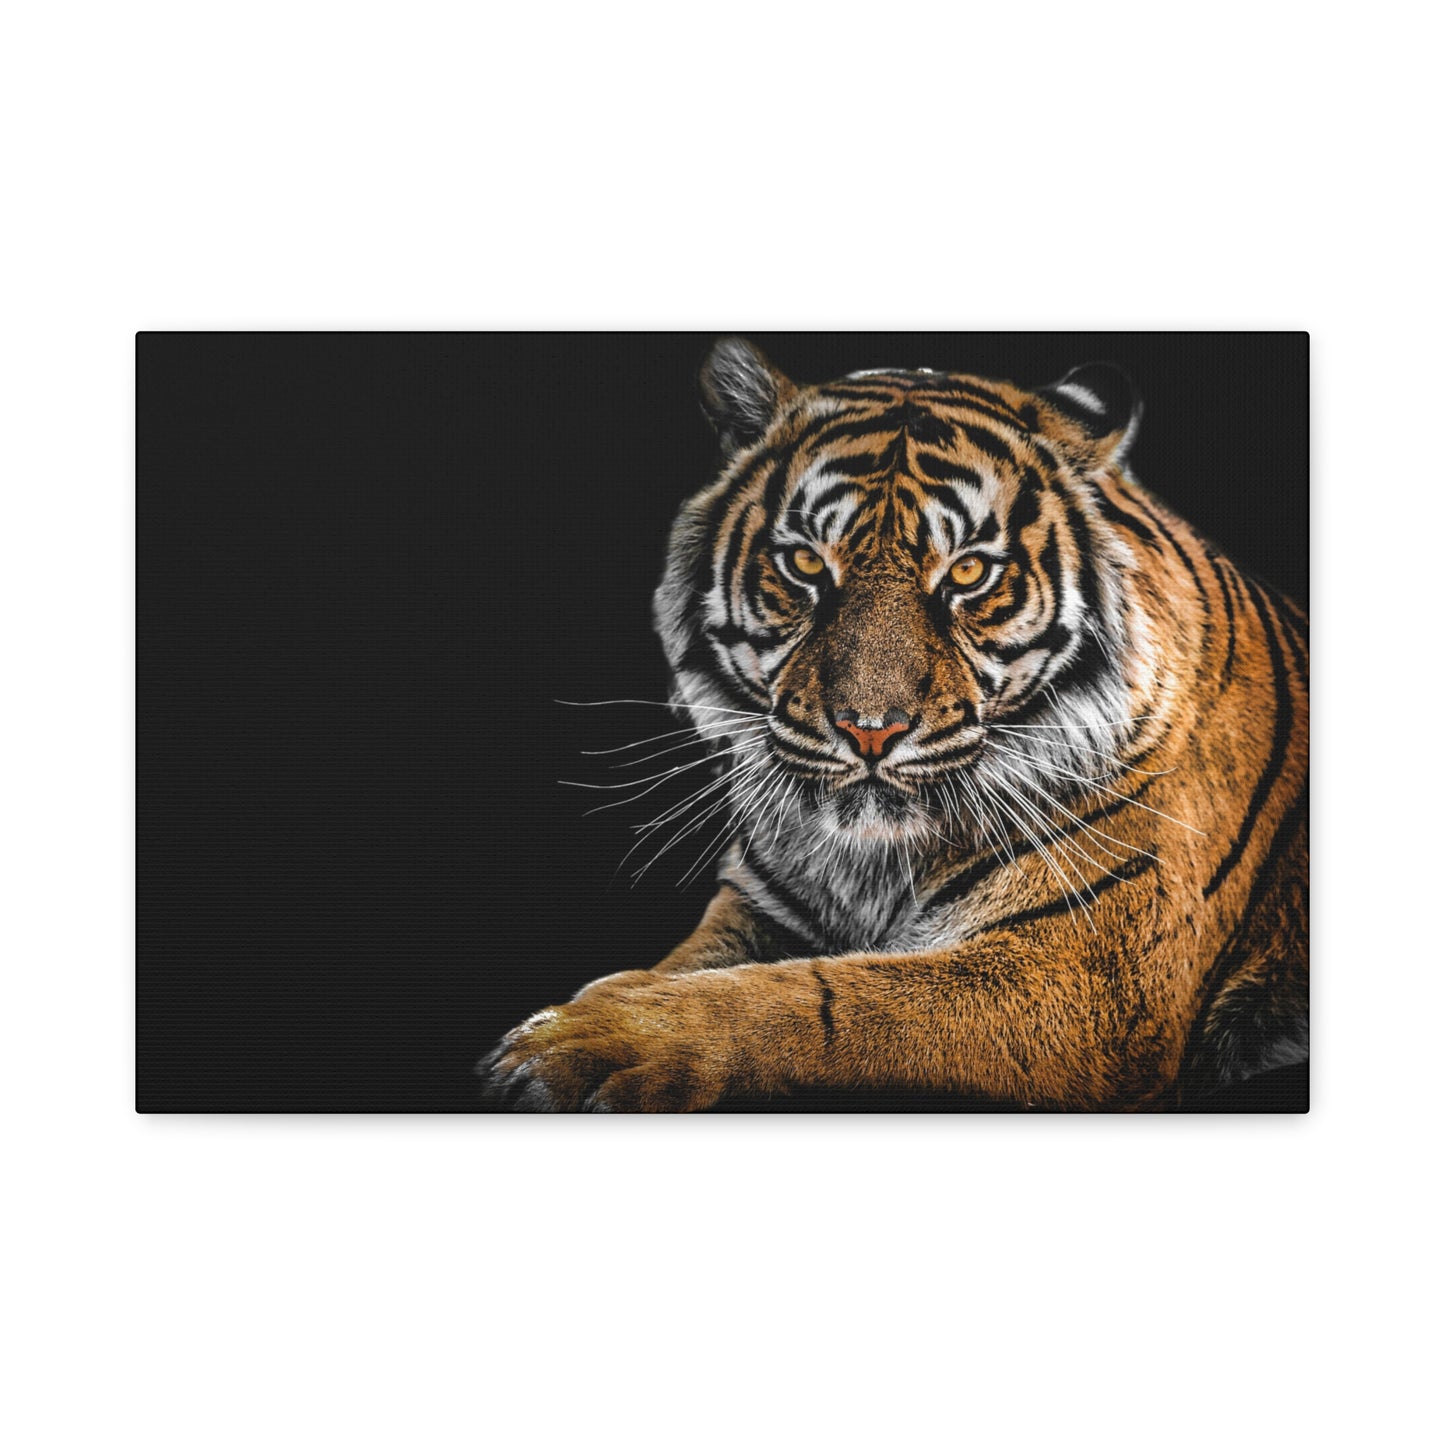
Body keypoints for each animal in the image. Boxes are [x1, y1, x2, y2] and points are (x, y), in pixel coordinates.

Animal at [479, 338, 1308, 1111]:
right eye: (805, 565)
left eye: (969, 571)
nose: (869, 730)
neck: (870, 865)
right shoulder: (757, 905)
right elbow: (690, 968)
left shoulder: (1087, 975)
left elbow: (818, 997)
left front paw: (580, 1043)